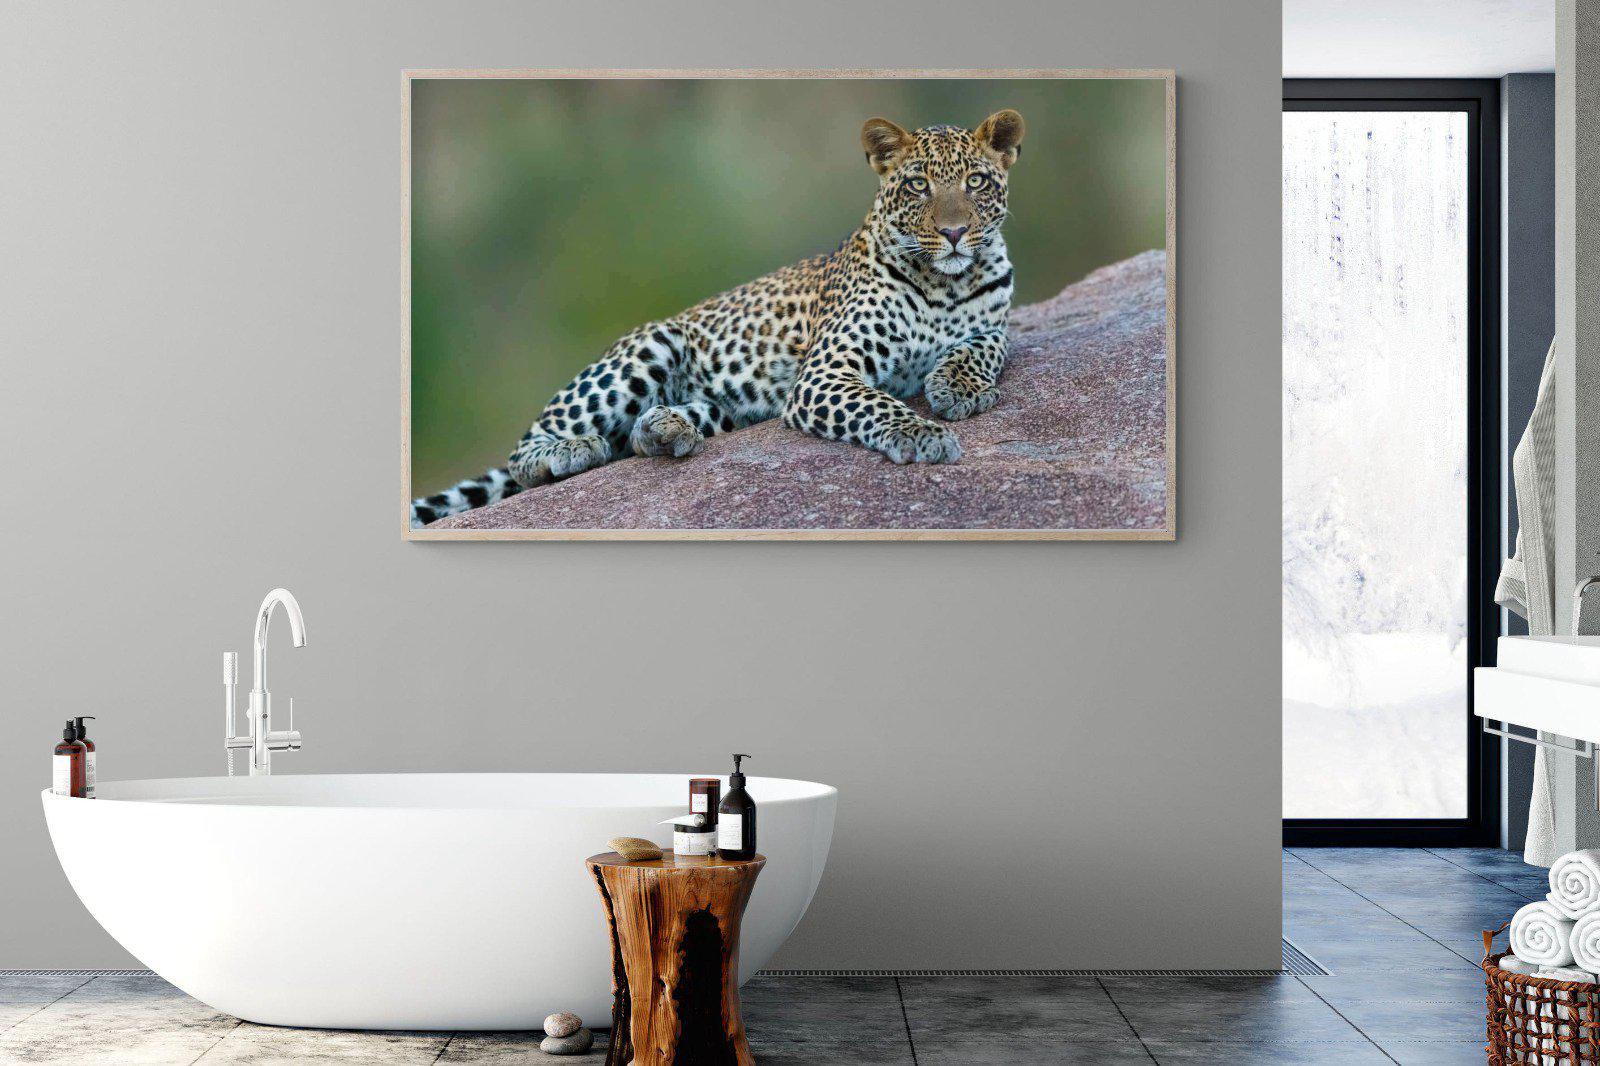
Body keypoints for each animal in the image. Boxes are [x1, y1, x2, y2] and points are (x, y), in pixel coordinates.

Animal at [411, 108, 1024, 528]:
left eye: (976, 182)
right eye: (918, 184)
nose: (954, 233)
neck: (946, 282)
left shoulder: (995, 323)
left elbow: (985, 346)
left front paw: (957, 387)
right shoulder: (825, 373)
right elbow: (877, 403)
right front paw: (924, 432)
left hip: (725, 407)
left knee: (651, 432)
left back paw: (664, 430)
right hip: (646, 349)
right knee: (527, 449)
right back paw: (571, 450)